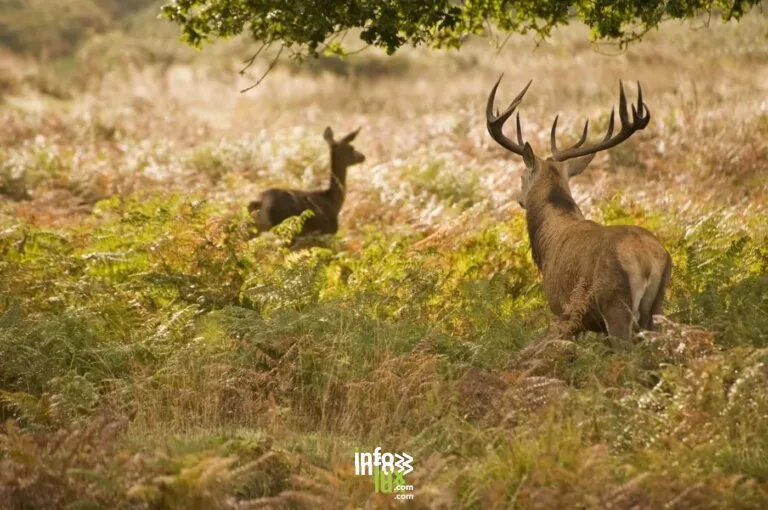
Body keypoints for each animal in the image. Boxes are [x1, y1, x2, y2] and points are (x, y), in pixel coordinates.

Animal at [486, 75, 672, 350]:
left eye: (521, 176)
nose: (518, 198)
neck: (548, 242)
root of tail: (647, 261)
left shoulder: (562, 311)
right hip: (657, 305)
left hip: (615, 302)